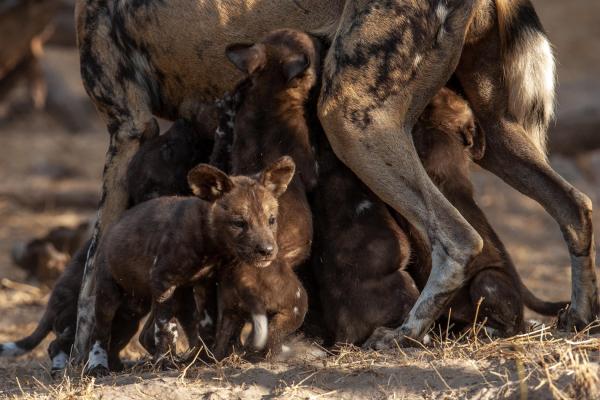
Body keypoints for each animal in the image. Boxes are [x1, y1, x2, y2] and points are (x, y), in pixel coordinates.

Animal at [75, 0, 596, 354]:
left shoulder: (128, 130)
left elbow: (92, 279)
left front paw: (85, 363)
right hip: (496, 131)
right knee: (575, 208)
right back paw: (581, 319)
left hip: (349, 119)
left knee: (459, 238)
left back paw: (404, 334)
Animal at [86, 157, 296, 376]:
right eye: (239, 223)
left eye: (271, 220)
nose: (267, 250)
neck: (207, 241)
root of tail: (112, 227)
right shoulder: (162, 282)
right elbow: (166, 328)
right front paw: (164, 362)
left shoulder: (206, 283)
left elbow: (206, 325)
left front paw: (203, 358)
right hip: (109, 293)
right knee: (100, 331)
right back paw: (98, 365)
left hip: (139, 303)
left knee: (140, 332)